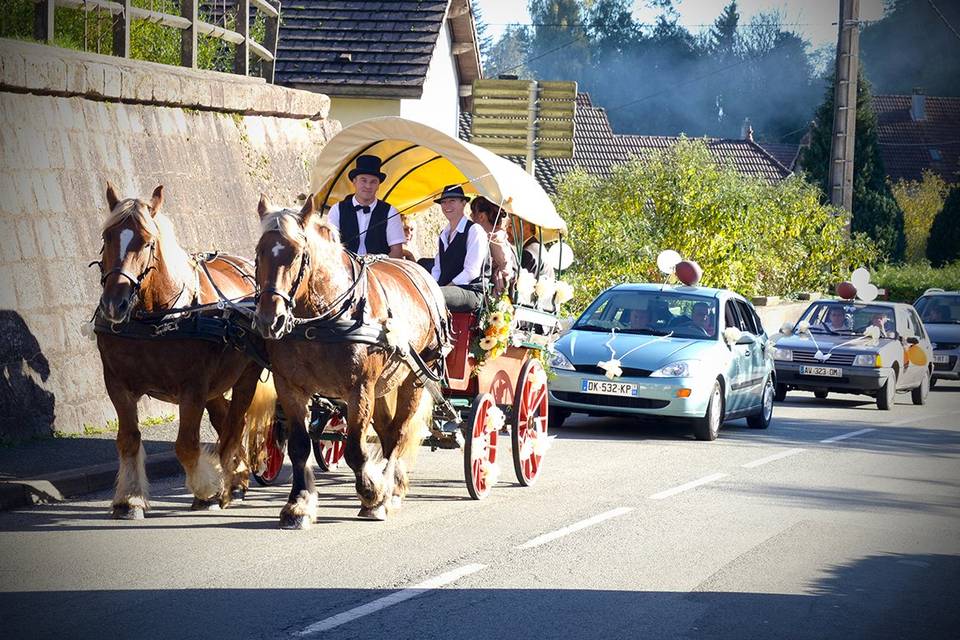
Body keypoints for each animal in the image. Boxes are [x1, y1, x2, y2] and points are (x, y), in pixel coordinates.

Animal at [96, 182, 274, 516]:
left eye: (147, 242)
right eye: (107, 237)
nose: (114, 303)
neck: (155, 318)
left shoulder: (193, 388)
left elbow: (186, 444)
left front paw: (206, 490)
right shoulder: (116, 383)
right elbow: (128, 439)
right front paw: (130, 498)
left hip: (246, 374)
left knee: (235, 424)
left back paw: (232, 482)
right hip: (217, 385)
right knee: (225, 421)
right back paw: (238, 475)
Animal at [255, 195, 450, 528]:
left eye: (296, 254)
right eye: (259, 251)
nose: (270, 319)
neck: (320, 320)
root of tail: (424, 276)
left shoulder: (358, 389)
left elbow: (355, 450)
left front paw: (373, 495)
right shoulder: (290, 387)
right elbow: (298, 446)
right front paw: (298, 504)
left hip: (413, 379)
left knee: (398, 433)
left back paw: (389, 491)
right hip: (384, 386)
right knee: (387, 433)